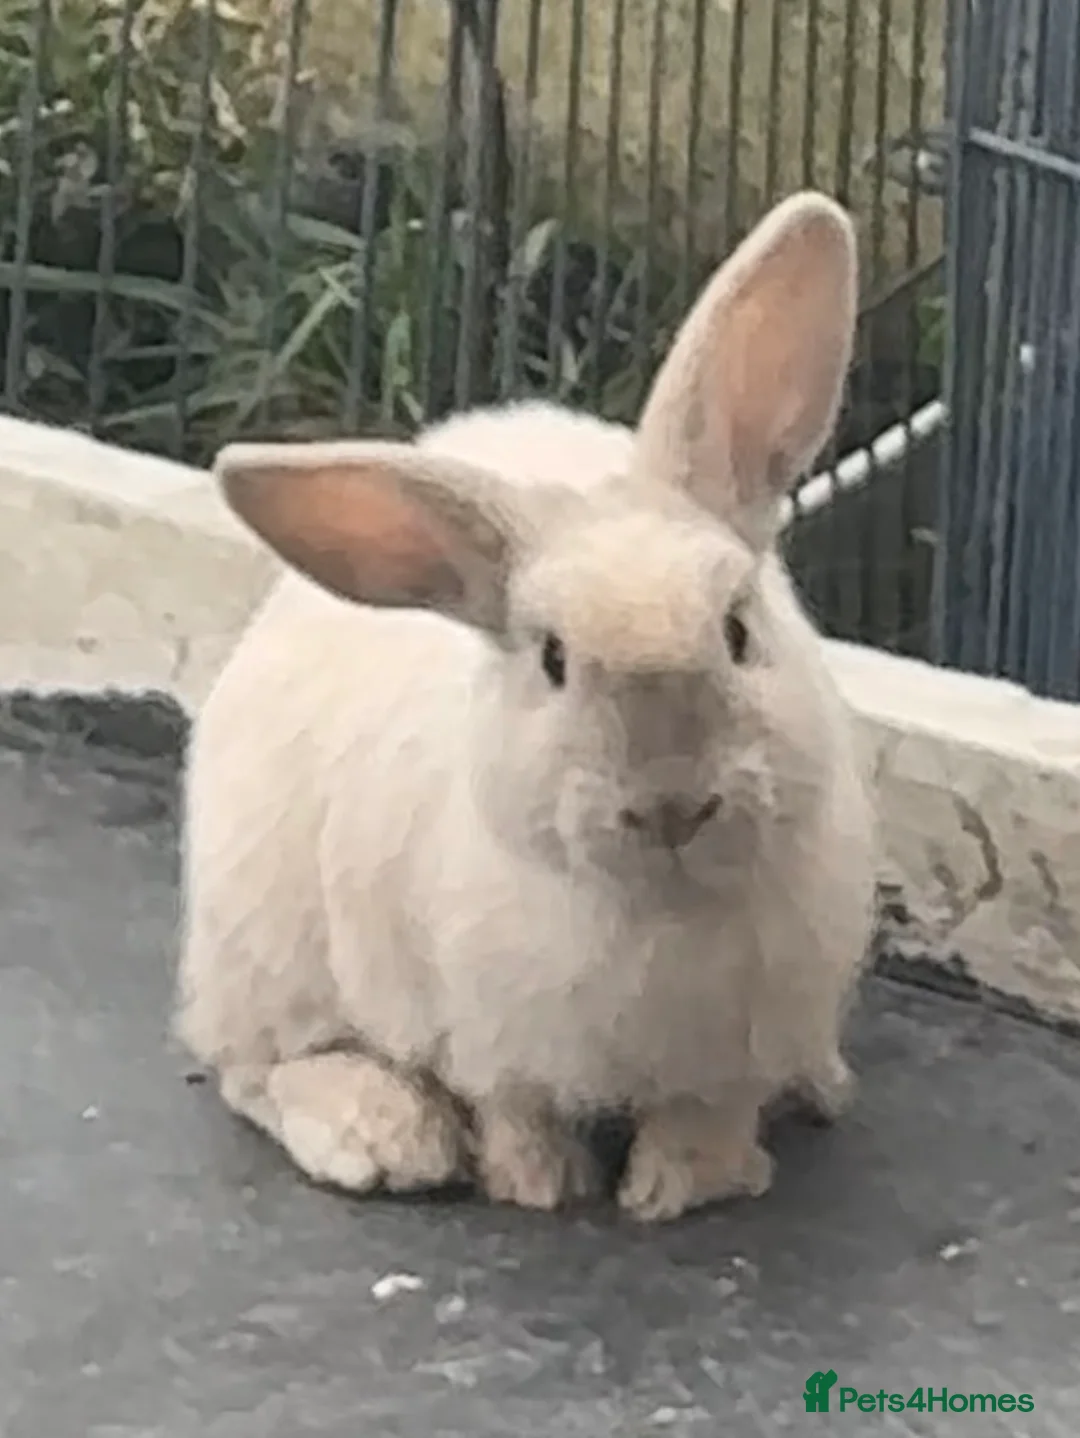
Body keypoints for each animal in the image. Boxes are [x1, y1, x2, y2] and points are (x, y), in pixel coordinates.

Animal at [174, 190, 879, 1223]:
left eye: (738, 629)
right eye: (551, 660)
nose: (671, 804)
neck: (662, 912)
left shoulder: (740, 1050)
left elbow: (707, 1117)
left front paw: (678, 1190)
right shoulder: (492, 1039)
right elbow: (516, 1111)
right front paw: (541, 1189)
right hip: (266, 945)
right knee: (258, 1068)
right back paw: (385, 1137)